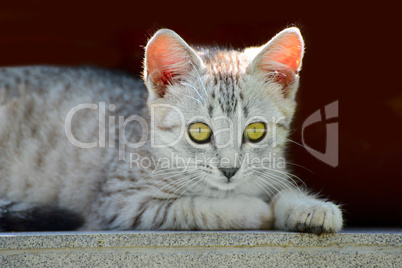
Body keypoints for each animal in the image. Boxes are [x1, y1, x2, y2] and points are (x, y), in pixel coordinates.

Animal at [0, 26, 342, 232]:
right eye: (199, 132)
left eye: (256, 131)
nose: (229, 170)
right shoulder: (120, 205)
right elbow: (194, 208)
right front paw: (257, 209)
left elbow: (281, 188)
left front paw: (309, 207)